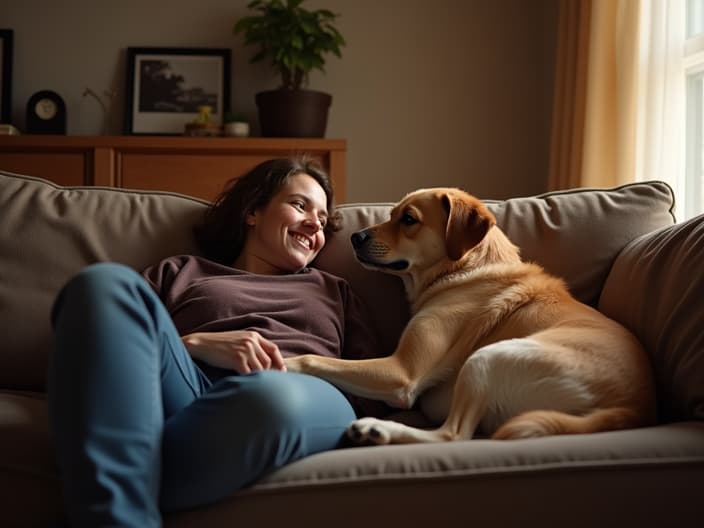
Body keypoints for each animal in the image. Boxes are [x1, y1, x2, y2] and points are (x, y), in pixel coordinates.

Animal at [284, 188, 656, 444]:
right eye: (391, 215)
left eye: (409, 220)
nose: (355, 236)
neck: (466, 268)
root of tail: (636, 406)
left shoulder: (401, 372)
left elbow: (312, 360)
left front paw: (281, 362)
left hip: (488, 357)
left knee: (452, 435)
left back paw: (378, 429)